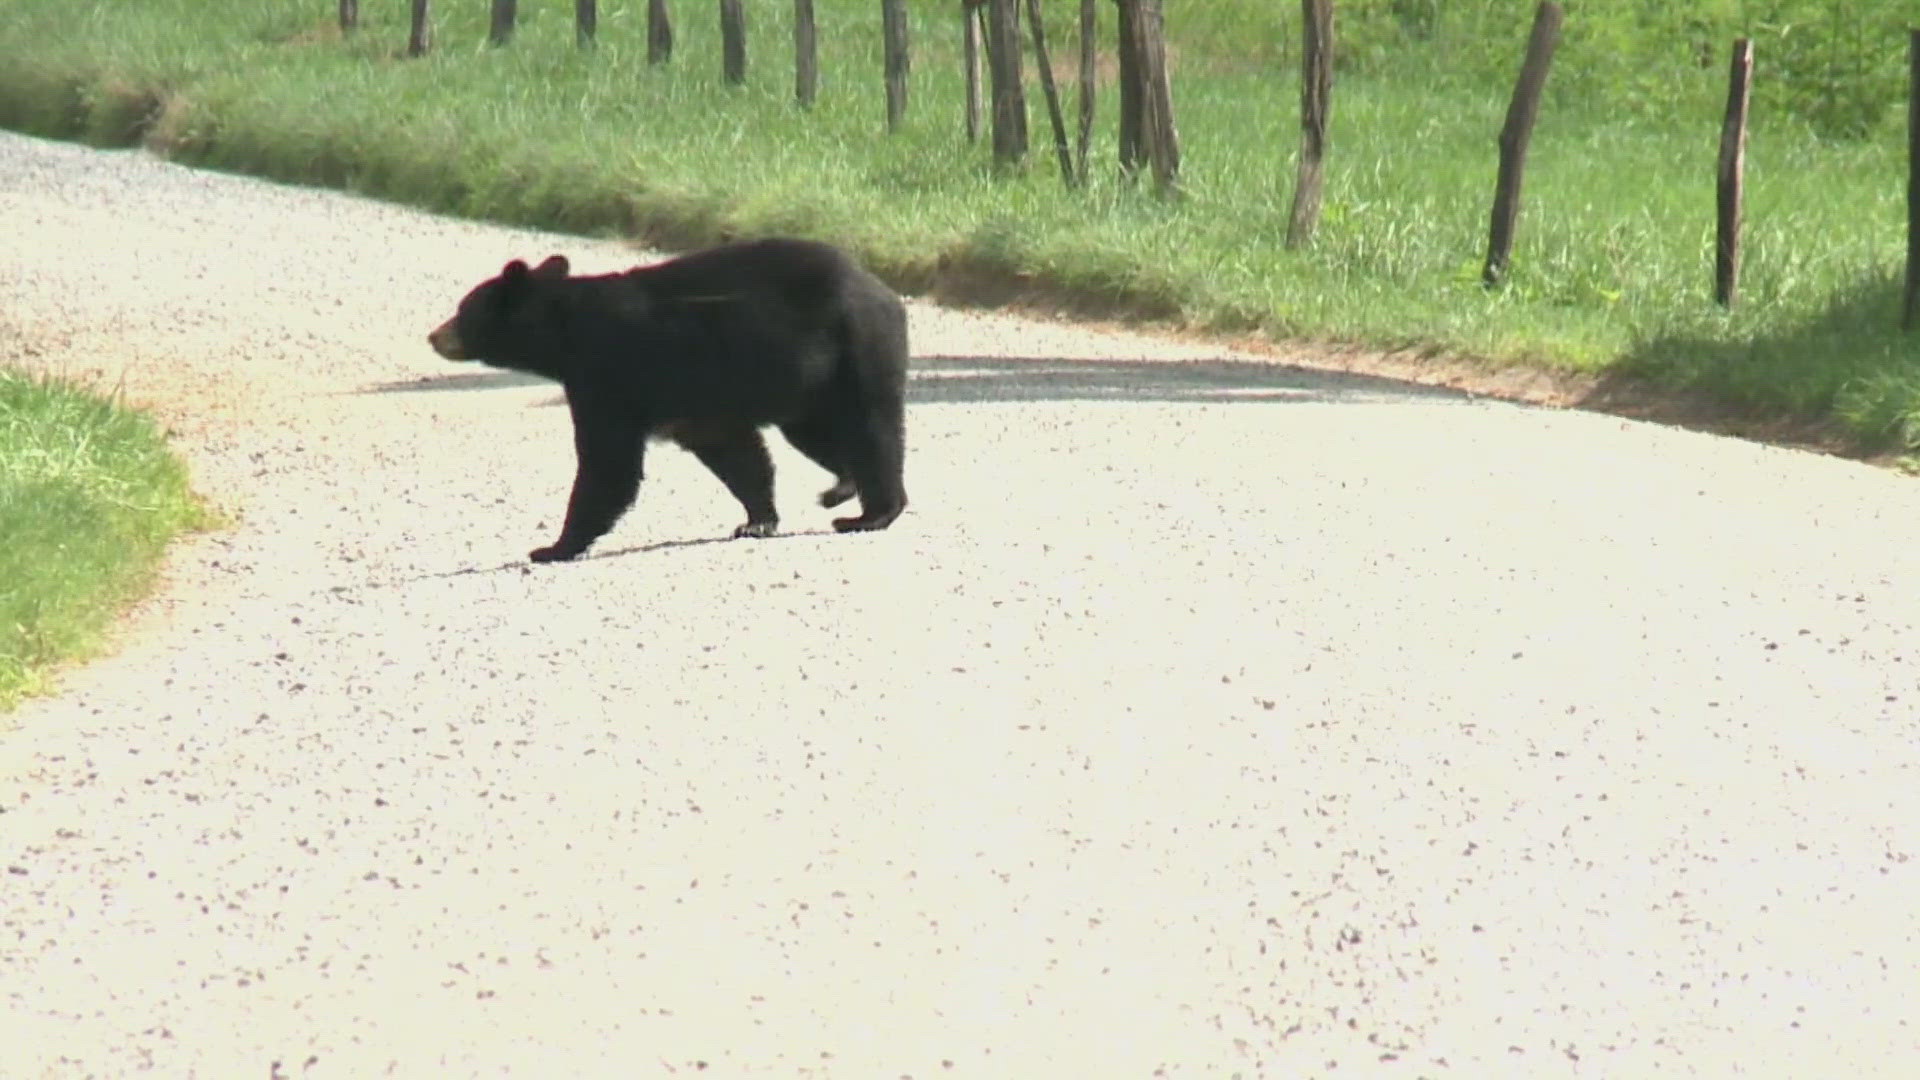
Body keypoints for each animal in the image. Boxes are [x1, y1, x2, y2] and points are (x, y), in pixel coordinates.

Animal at [432, 237, 910, 564]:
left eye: (462, 310)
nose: (434, 335)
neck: (565, 332)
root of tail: (885, 292)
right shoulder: (696, 401)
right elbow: (733, 451)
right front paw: (757, 520)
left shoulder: (607, 373)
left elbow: (608, 464)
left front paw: (553, 547)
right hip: (810, 385)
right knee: (819, 434)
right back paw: (841, 488)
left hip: (859, 349)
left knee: (872, 431)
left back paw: (871, 514)